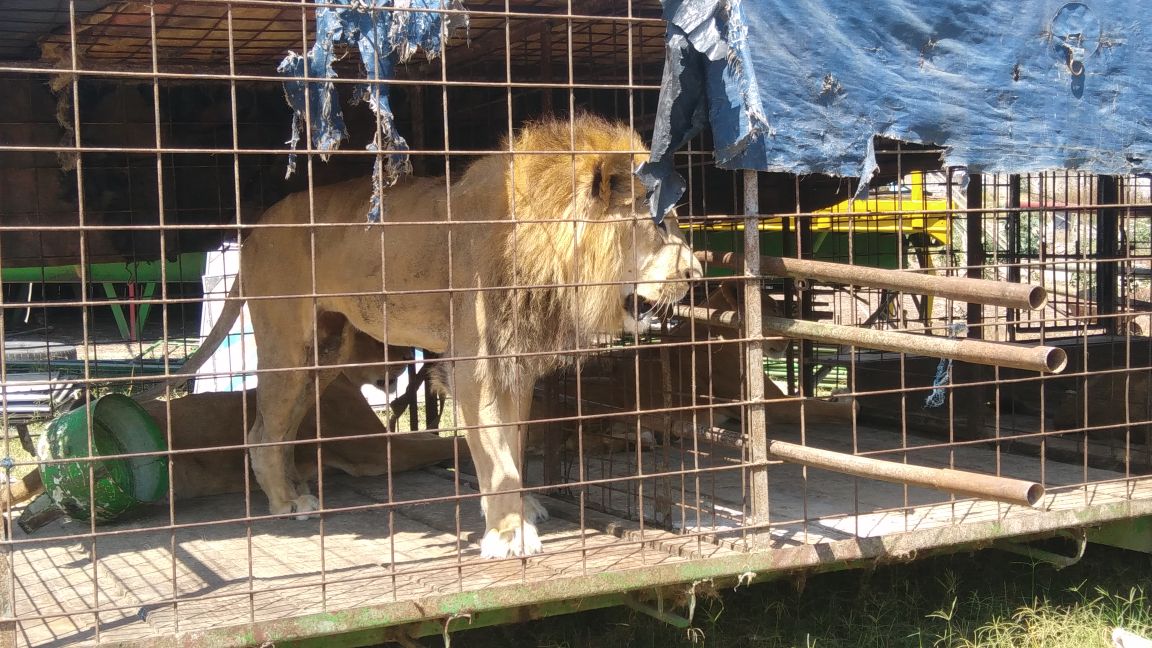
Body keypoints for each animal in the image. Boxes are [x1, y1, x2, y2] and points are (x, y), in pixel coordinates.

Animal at [186, 114, 700, 555]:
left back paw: (297, 488)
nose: (696, 274)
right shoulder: (476, 368)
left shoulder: (515, 363)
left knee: (283, 428)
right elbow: (498, 458)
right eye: (658, 224)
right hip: (290, 347)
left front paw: (521, 510)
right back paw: (286, 501)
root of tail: (252, 231)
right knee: (262, 433)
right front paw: (510, 533)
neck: (546, 252)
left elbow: (513, 443)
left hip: (325, 353)